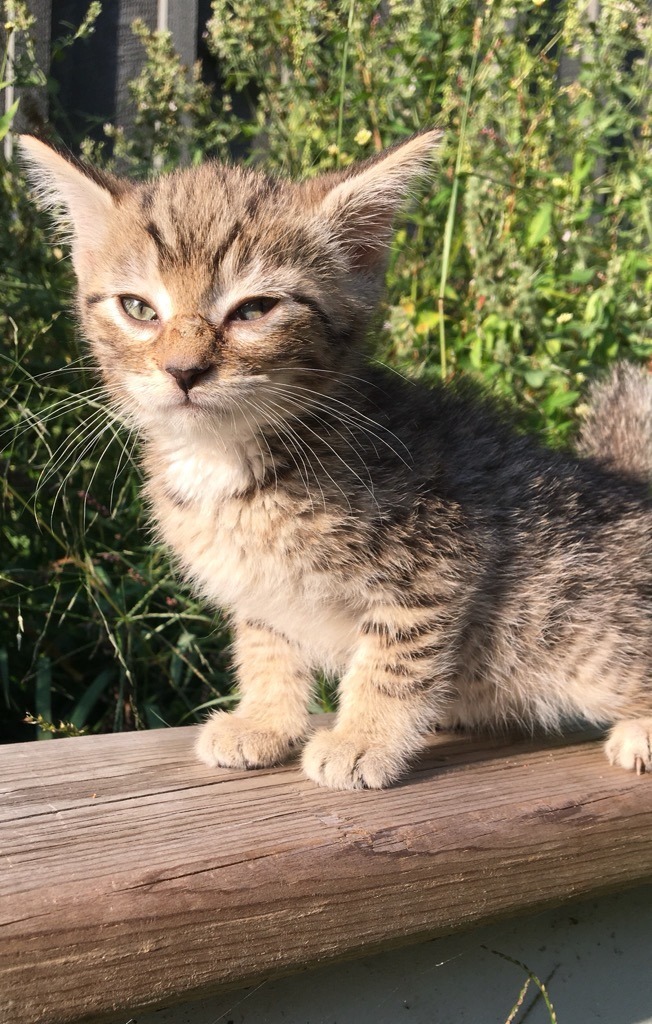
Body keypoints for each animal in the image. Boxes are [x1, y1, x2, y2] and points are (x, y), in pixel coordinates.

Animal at [17, 132, 650, 790]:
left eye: (254, 310)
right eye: (138, 309)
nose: (183, 371)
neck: (230, 460)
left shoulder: (441, 559)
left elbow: (394, 661)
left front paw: (362, 739)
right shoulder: (259, 589)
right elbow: (266, 648)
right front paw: (265, 722)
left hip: (575, 633)